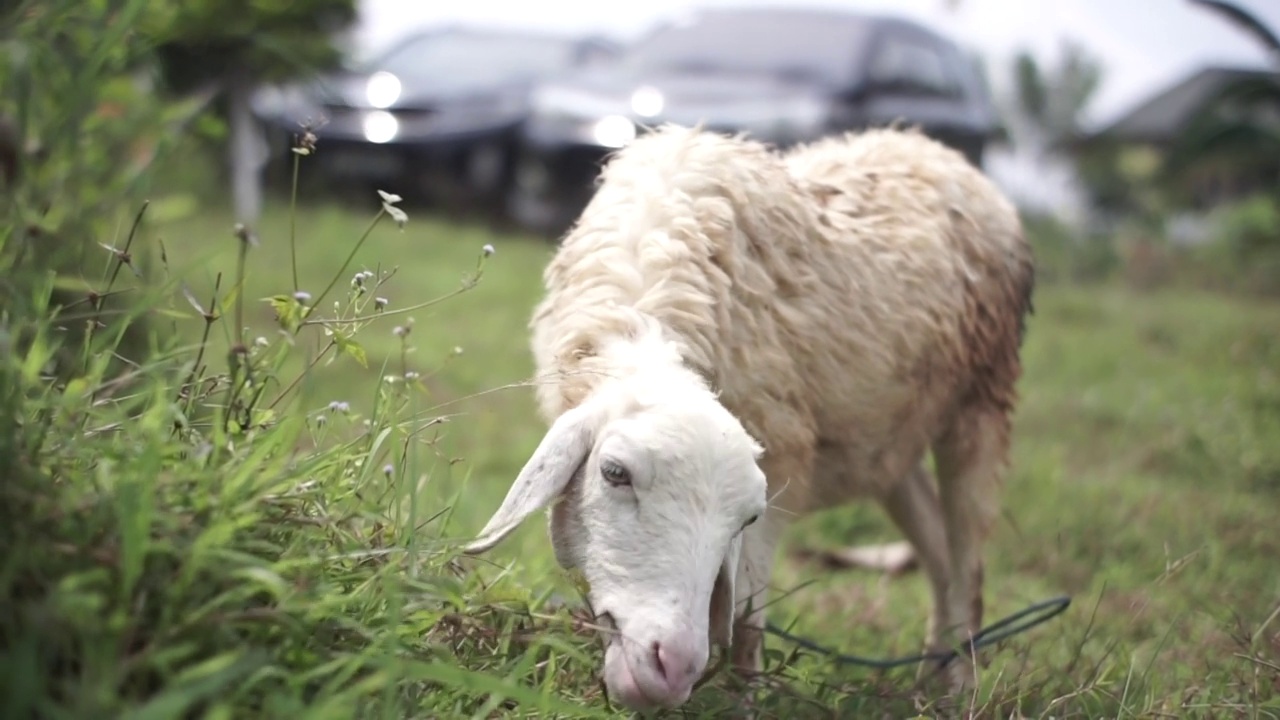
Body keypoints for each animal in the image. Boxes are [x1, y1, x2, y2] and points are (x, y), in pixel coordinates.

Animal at [465, 120, 1034, 707]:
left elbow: (748, 618)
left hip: (983, 399)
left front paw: (743, 699)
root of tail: (933, 148)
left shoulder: (784, 459)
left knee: (969, 564)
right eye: (614, 473)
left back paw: (959, 688)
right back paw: (926, 681)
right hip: (890, 443)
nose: (673, 666)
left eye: (748, 517)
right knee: (939, 552)